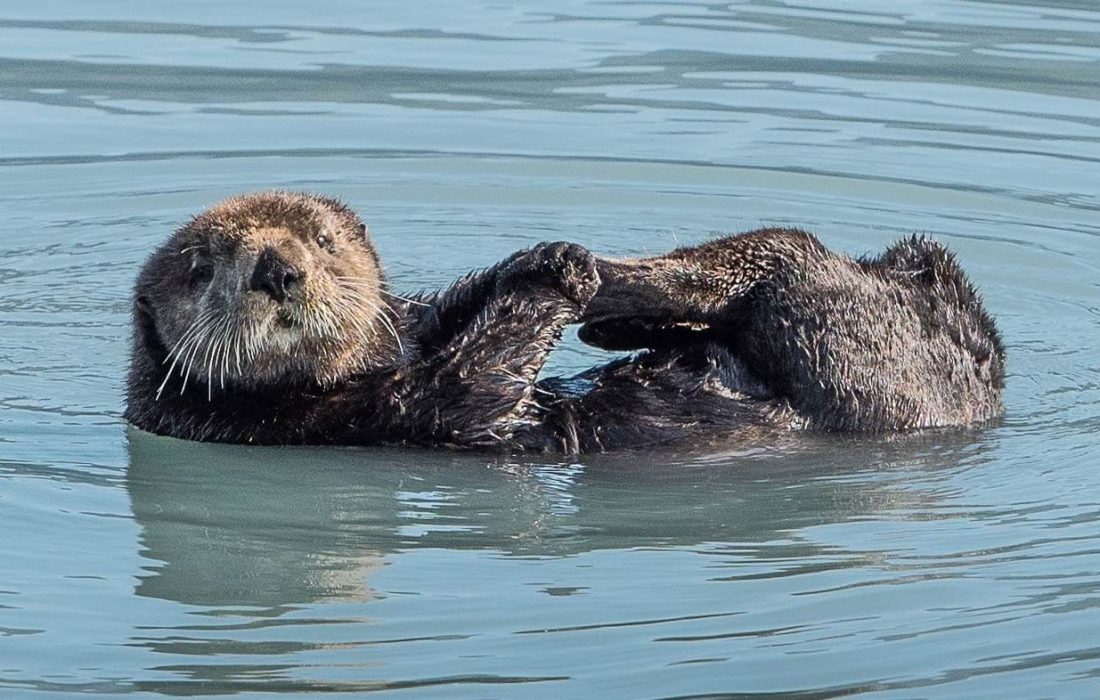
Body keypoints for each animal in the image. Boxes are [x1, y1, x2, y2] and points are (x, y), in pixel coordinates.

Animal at [125, 192, 1004, 453]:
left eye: (322, 239)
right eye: (203, 269)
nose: (278, 268)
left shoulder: (409, 327)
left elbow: (443, 313)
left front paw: (540, 256)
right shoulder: (356, 417)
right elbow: (471, 386)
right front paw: (557, 274)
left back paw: (614, 299)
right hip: (859, 356)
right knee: (775, 258)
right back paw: (609, 296)